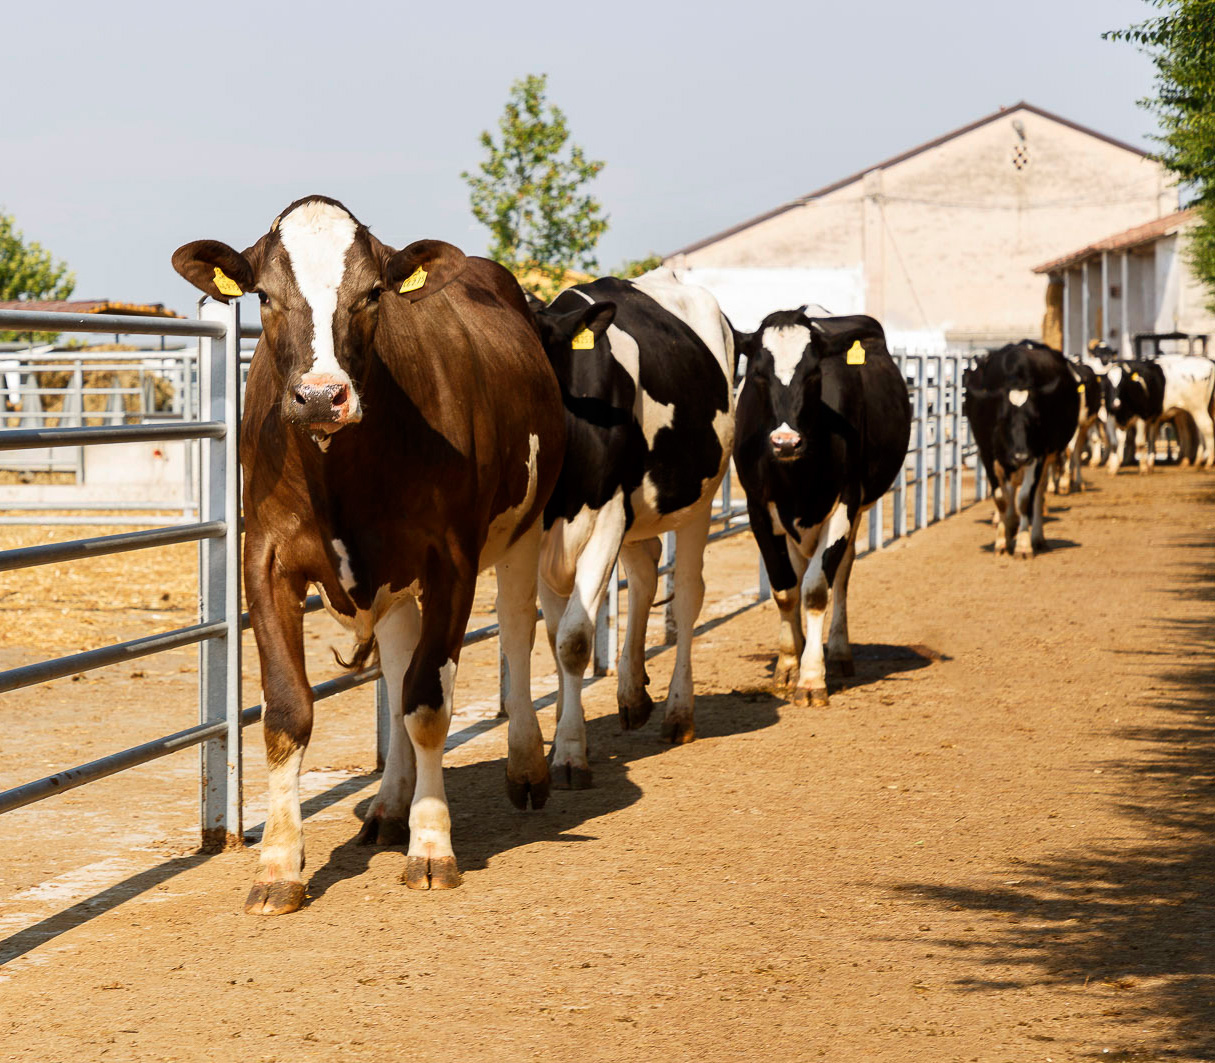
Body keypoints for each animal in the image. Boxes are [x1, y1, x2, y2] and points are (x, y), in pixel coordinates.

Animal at [174, 195, 563, 908]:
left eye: (373, 293)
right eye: (264, 295)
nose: (321, 396)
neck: (339, 472)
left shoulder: (451, 562)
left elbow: (429, 704)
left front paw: (432, 846)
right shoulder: (265, 560)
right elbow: (289, 710)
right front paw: (278, 864)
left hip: (527, 525)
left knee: (518, 632)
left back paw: (526, 766)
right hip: (394, 581)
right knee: (400, 661)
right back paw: (388, 806)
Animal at [532, 266, 729, 782]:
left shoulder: (606, 521)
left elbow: (573, 640)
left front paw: (569, 753)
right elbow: (554, 637)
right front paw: (562, 729)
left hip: (699, 498)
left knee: (687, 595)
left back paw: (678, 712)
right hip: (638, 514)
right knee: (644, 572)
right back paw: (633, 694)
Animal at [729, 307, 913, 709]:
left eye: (814, 373)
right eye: (758, 373)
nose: (785, 441)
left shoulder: (845, 502)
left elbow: (816, 590)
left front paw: (812, 678)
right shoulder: (758, 509)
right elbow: (785, 589)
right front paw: (788, 666)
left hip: (854, 512)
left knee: (840, 574)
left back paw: (839, 653)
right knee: (799, 573)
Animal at [962, 342, 1078, 561]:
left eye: (1036, 419)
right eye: (1002, 419)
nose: (1021, 456)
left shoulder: (1038, 455)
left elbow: (1025, 500)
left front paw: (1023, 544)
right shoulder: (988, 454)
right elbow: (1001, 499)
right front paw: (1002, 539)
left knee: (1038, 493)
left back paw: (1036, 537)